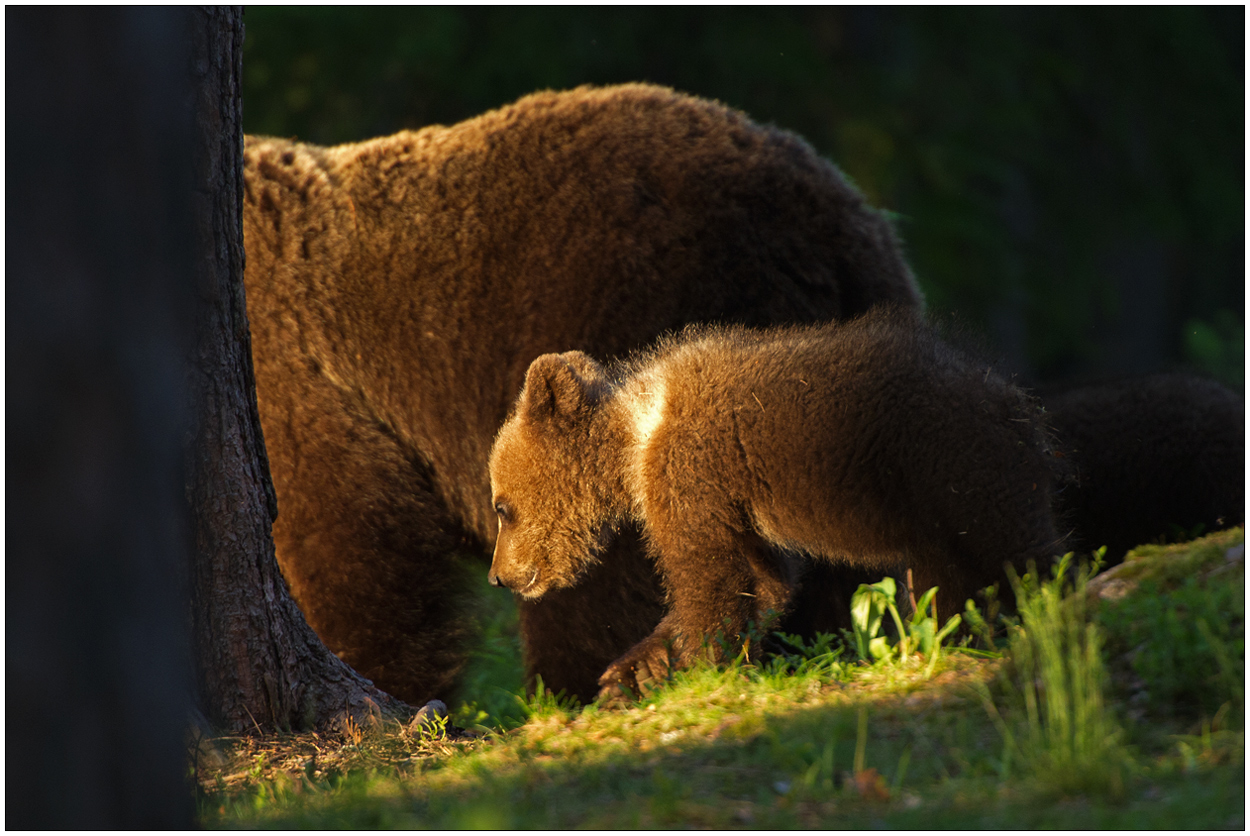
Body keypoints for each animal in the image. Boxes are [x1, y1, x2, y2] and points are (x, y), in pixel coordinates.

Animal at [241, 84, 920, 699]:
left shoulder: (297, 370)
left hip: (635, 292)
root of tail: (834, 220)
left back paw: (597, 678)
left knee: (607, 564)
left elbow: (350, 545)